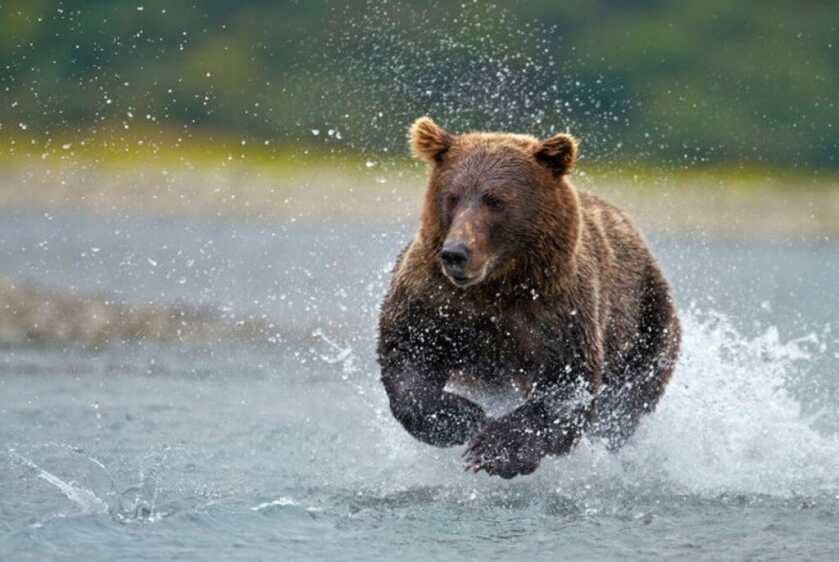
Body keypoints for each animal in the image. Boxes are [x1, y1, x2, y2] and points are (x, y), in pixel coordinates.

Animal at [376, 117, 681, 479]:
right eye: (452, 196)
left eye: (495, 200)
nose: (456, 253)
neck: (499, 285)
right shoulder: (434, 299)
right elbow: (408, 355)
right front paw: (462, 418)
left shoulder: (559, 312)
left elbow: (566, 387)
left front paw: (495, 451)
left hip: (647, 321)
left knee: (625, 403)